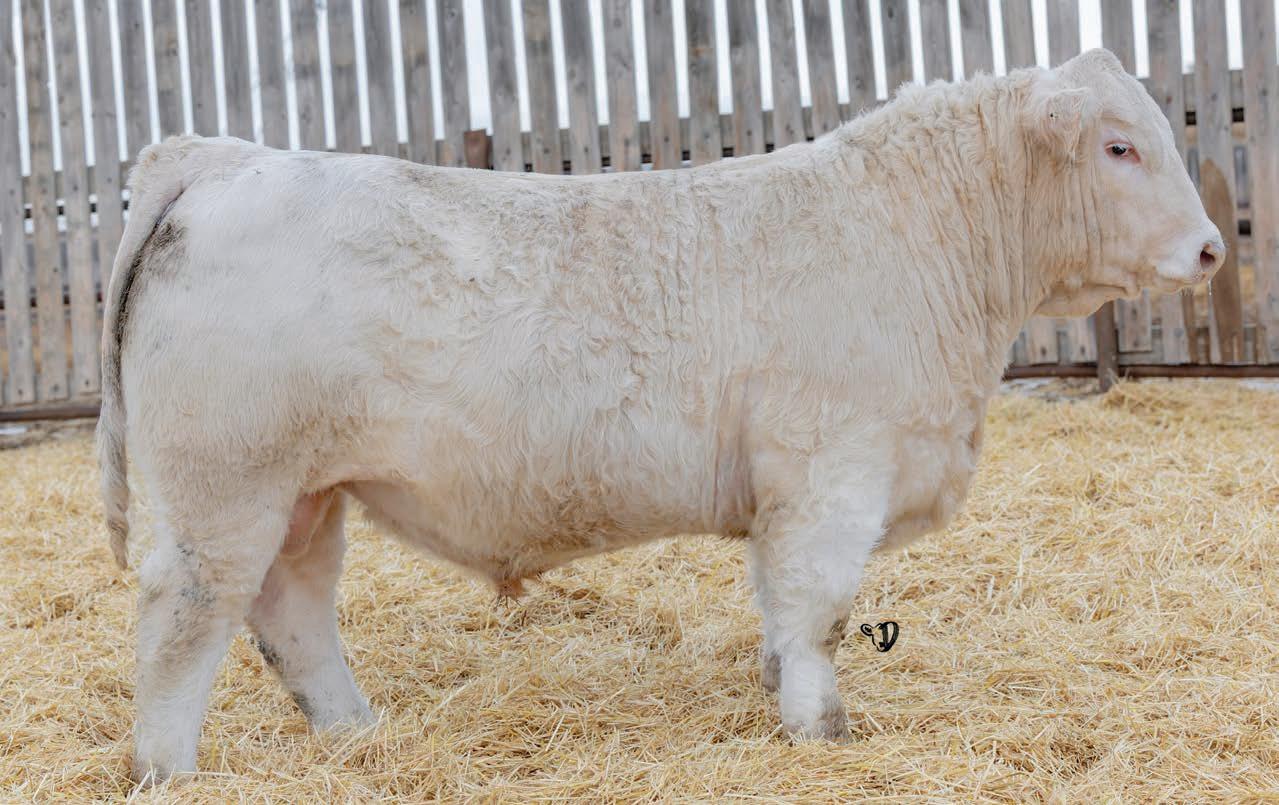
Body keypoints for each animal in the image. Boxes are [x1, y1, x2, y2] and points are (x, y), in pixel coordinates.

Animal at [98, 49, 1223, 781]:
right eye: (1119, 147)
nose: (1212, 248)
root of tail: (219, 156)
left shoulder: (784, 490)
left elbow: (779, 604)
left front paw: (777, 691)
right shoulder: (833, 469)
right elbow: (820, 606)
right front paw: (821, 728)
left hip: (303, 493)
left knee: (292, 612)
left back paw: (356, 733)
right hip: (224, 489)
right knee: (178, 620)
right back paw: (170, 769)